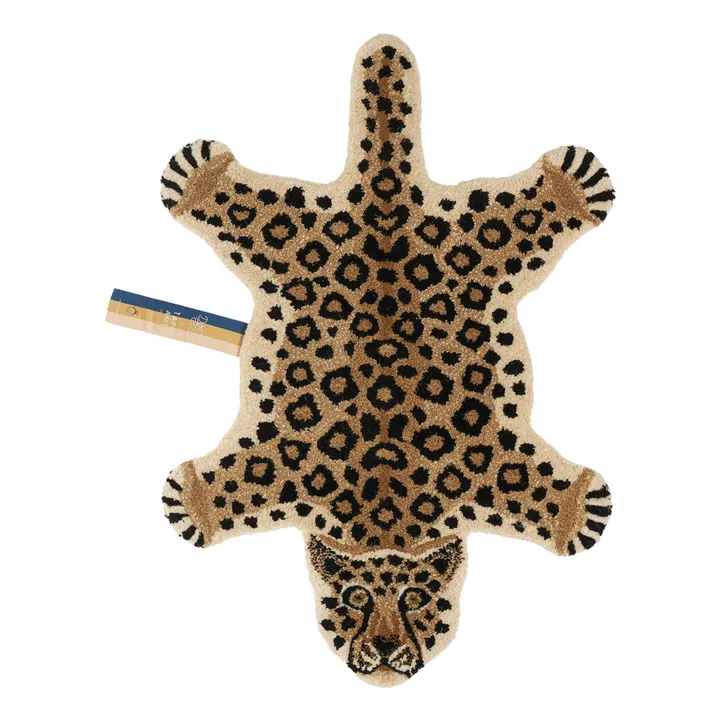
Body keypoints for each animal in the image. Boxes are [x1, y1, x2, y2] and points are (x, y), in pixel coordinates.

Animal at [158, 34, 614, 686]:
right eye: (352, 598)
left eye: (418, 599)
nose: (383, 657)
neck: (386, 516)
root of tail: (386, 201)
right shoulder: (284, 464)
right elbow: (237, 486)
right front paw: (195, 498)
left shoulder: (487, 469)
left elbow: (530, 489)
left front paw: (574, 508)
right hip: (292, 236)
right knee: (248, 207)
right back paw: (200, 176)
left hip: (481, 241)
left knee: (519, 215)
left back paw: (572, 184)